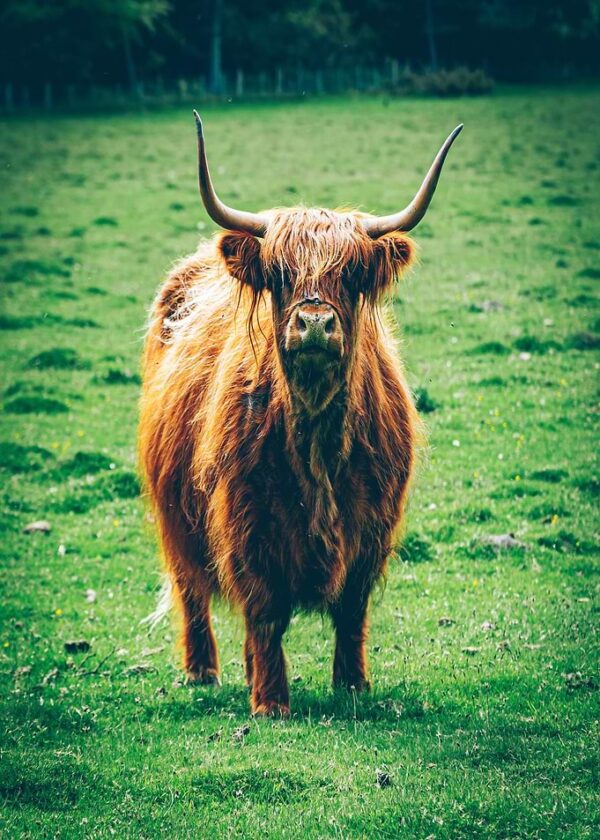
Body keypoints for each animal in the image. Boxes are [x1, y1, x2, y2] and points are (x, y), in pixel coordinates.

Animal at [139, 112, 462, 716]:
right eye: (280, 275)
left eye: (352, 275)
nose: (313, 324)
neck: (316, 440)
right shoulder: (245, 519)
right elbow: (265, 611)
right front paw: (271, 703)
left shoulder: (373, 524)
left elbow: (351, 612)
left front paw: (353, 686)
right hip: (175, 513)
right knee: (191, 588)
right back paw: (202, 671)